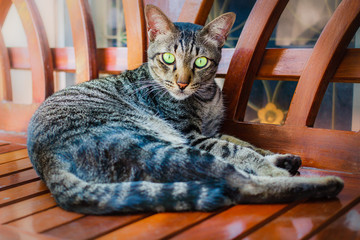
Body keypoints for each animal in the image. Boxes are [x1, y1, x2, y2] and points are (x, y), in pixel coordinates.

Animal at [27, 4, 344, 214]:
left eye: (201, 62)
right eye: (168, 58)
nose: (181, 83)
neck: (205, 97)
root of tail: (48, 162)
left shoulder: (213, 130)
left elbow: (243, 142)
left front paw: (272, 153)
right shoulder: (194, 136)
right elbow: (238, 150)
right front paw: (268, 161)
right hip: (160, 146)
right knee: (239, 182)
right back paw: (321, 183)